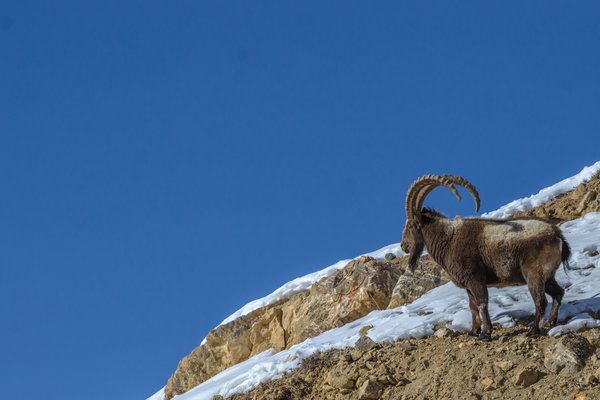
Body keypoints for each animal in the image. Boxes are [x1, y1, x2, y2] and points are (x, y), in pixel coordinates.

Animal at [400, 173, 568, 340]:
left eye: (410, 226)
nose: (403, 246)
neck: (449, 238)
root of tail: (557, 235)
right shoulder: (468, 286)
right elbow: (472, 307)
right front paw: (473, 332)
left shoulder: (476, 279)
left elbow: (482, 303)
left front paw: (486, 333)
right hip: (547, 276)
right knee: (558, 292)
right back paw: (549, 323)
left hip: (534, 274)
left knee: (541, 301)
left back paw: (533, 331)